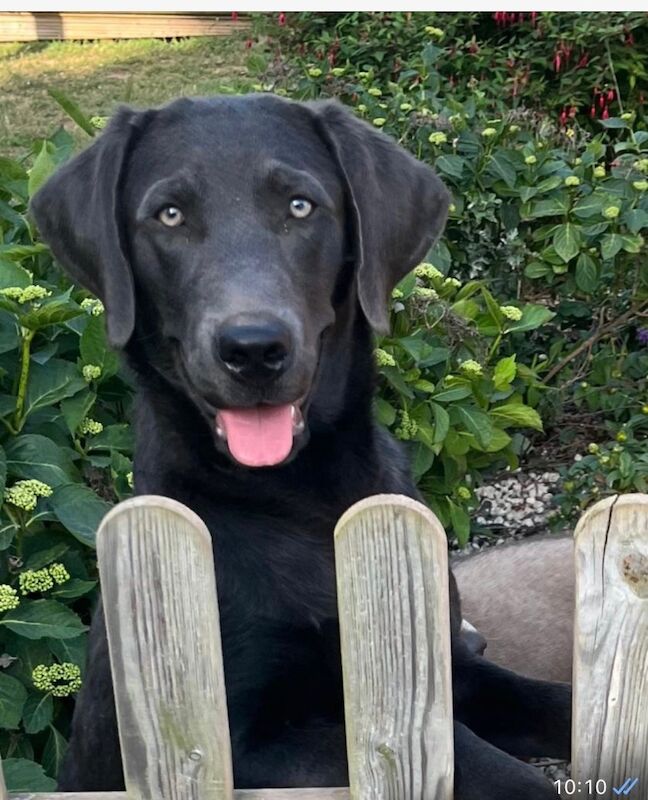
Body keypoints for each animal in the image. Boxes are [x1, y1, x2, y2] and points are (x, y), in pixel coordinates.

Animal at [31, 95, 568, 800]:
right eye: (168, 215)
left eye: (300, 206)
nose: (254, 347)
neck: (305, 497)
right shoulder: (243, 749)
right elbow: (478, 762)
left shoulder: (449, 671)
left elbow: (552, 701)